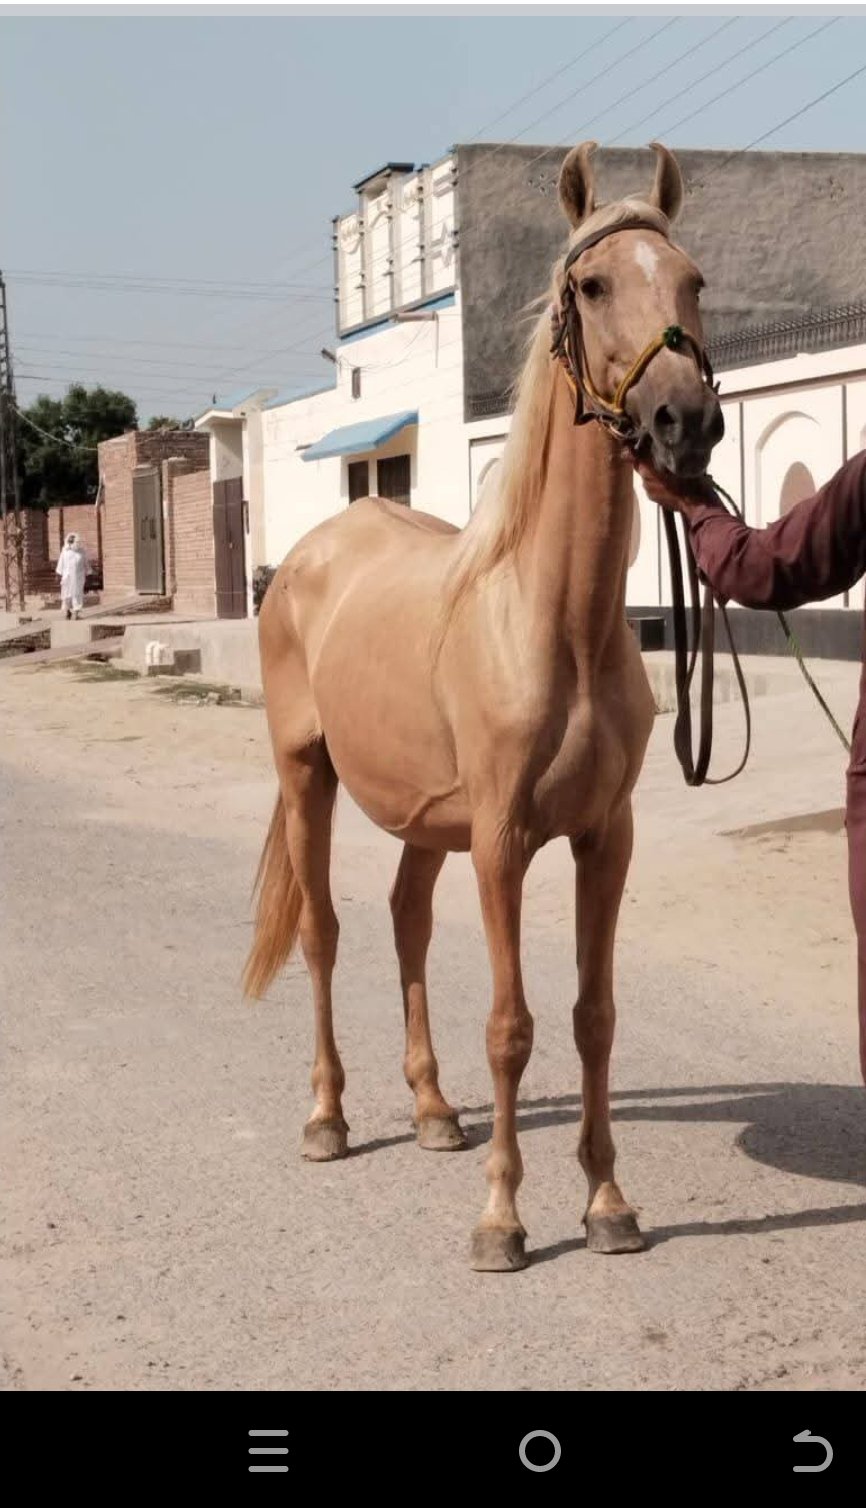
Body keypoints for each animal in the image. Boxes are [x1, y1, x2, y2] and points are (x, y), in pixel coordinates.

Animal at [244, 141, 723, 1271]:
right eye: (591, 287)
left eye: (691, 281)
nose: (685, 423)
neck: (552, 620)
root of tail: (308, 557)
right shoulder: (503, 841)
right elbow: (511, 1025)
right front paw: (503, 1218)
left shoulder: (605, 837)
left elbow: (592, 1015)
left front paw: (606, 1203)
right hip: (306, 775)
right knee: (326, 932)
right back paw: (328, 1117)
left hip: (425, 818)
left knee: (405, 922)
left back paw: (430, 1111)